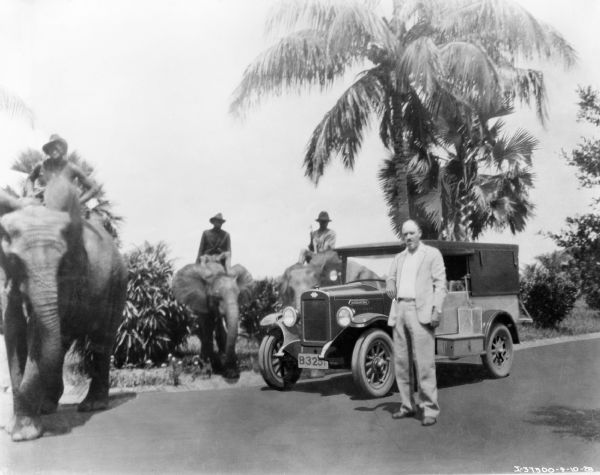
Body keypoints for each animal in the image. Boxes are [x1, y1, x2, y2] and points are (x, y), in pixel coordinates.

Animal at [0, 178, 126, 442]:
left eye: (62, 263)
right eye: (15, 260)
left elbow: (37, 333)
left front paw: (23, 435)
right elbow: (14, 331)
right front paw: (13, 429)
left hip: (117, 284)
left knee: (101, 341)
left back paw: (92, 405)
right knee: (64, 341)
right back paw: (48, 407)